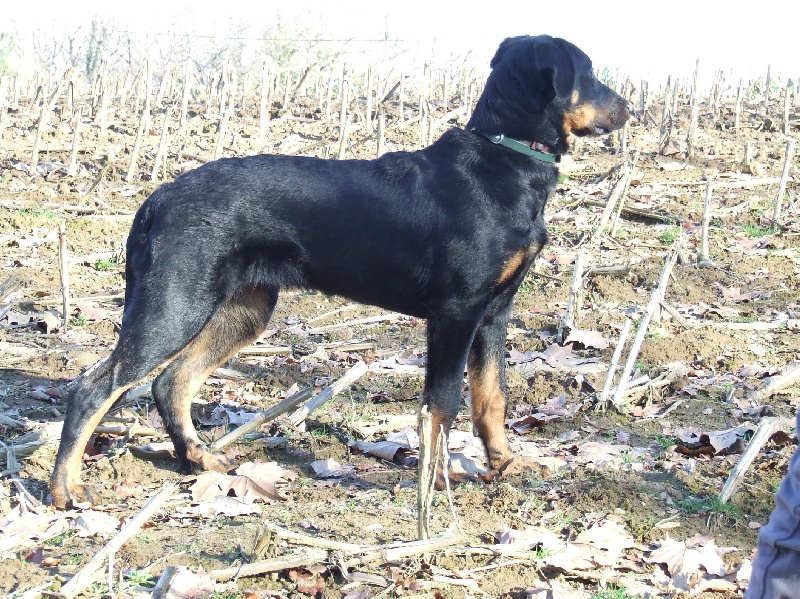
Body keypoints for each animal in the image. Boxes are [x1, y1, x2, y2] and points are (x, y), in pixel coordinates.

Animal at [48, 35, 632, 508]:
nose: (631, 108)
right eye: (588, 72)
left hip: (243, 309)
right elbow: (442, 405)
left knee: (171, 381)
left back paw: (199, 460)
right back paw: (65, 488)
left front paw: (505, 465)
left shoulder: (495, 313)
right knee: (93, 387)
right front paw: (436, 487)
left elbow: (492, 398)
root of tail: (157, 199)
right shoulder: (456, 313)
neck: (504, 160)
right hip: (174, 304)